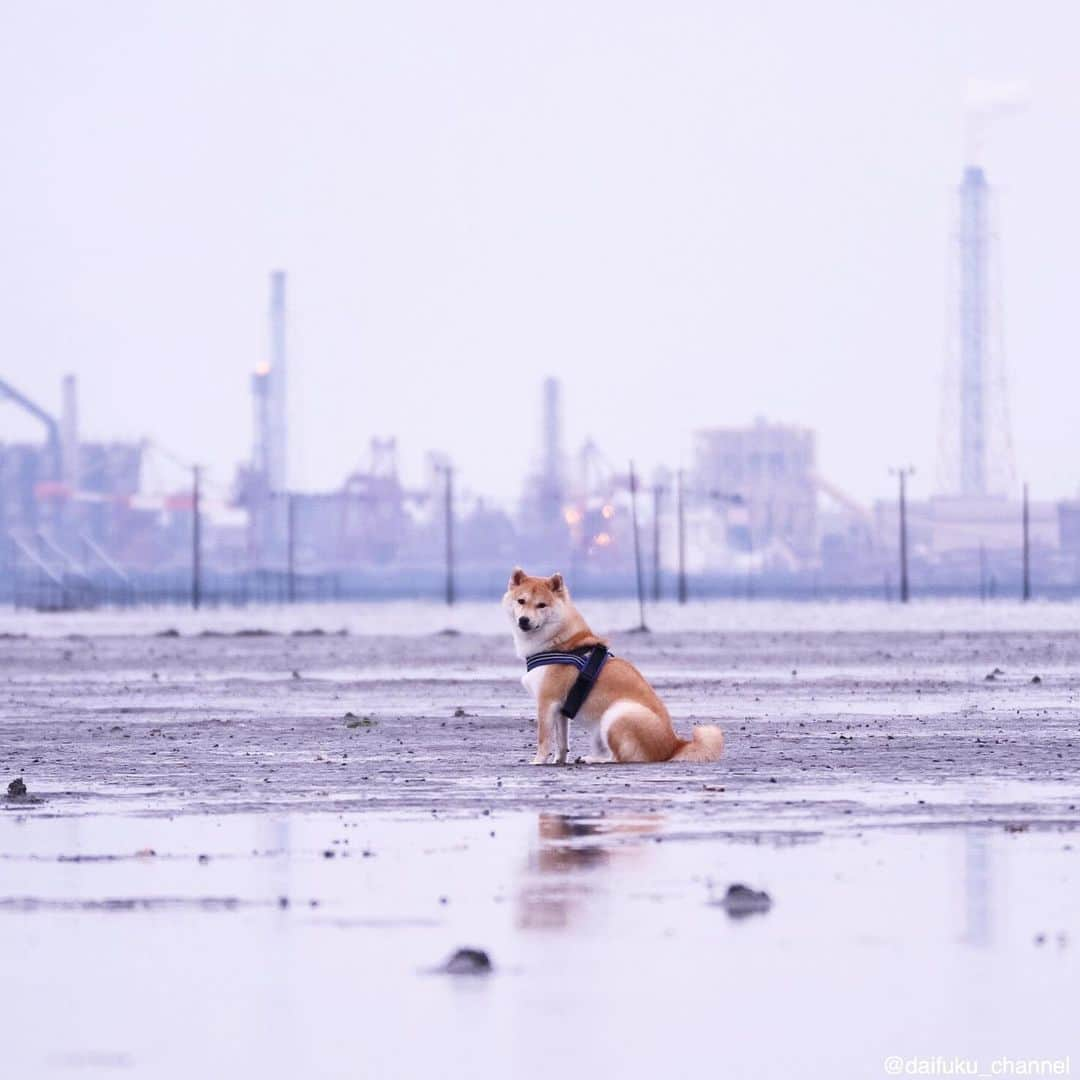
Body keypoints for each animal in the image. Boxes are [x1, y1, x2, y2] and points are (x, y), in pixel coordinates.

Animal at [503, 570, 725, 764]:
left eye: (541, 605)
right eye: (521, 601)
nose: (524, 620)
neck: (559, 643)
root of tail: (674, 746)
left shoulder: (546, 703)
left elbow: (544, 740)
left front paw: (538, 762)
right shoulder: (559, 709)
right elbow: (562, 742)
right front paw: (559, 761)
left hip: (616, 714)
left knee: (619, 757)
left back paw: (594, 760)